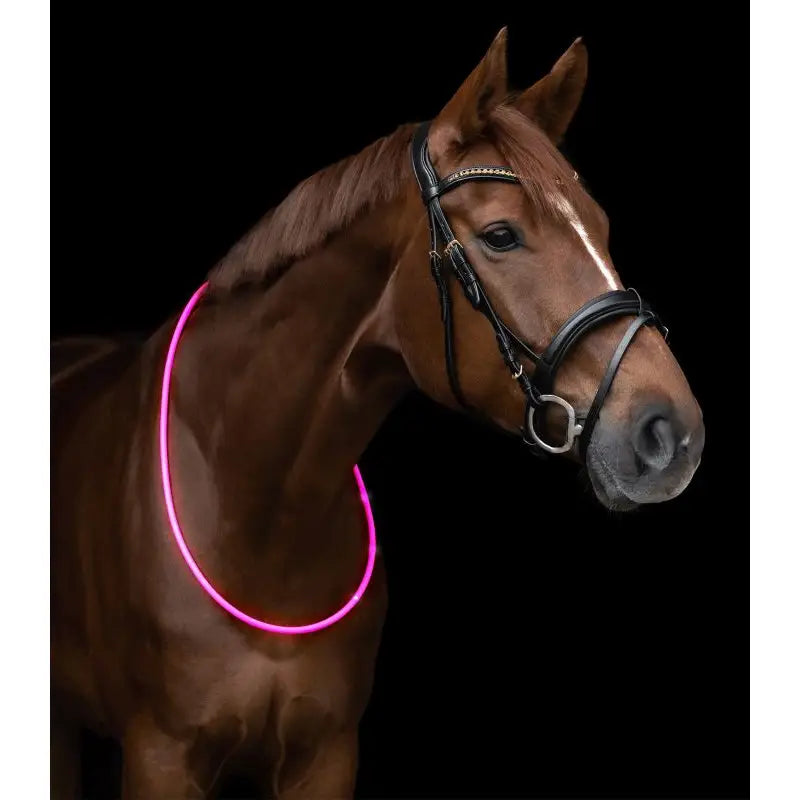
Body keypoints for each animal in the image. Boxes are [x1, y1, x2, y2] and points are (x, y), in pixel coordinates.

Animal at [51, 30, 705, 799]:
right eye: (502, 235)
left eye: (600, 227)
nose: (671, 433)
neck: (257, 524)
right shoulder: (161, 756)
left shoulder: (327, 756)